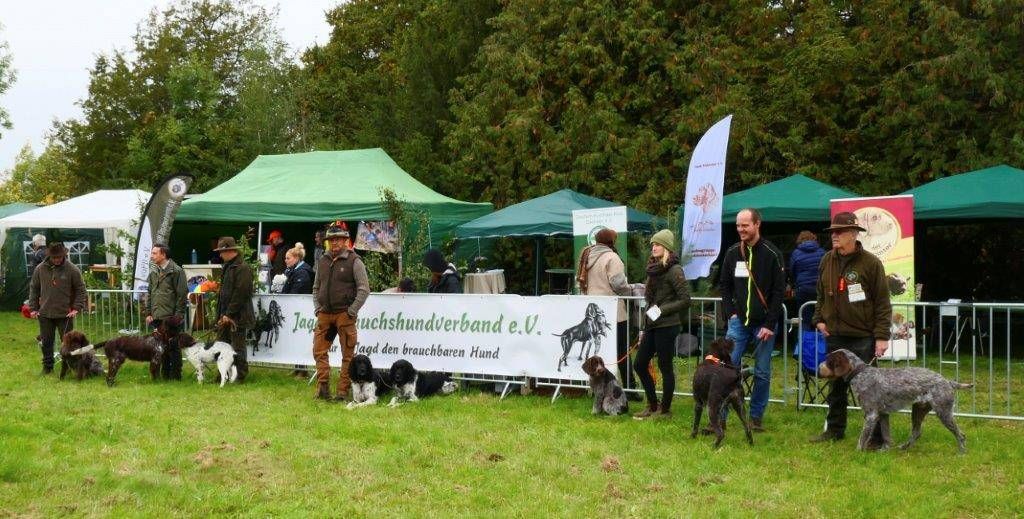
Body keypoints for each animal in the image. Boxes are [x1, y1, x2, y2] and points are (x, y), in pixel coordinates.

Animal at [818, 349, 972, 453]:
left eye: (828, 361)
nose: (818, 369)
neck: (861, 374)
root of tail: (948, 381)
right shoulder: (882, 414)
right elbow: (886, 435)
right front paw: (884, 450)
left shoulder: (871, 415)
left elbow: (862, 438)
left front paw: (857, 453)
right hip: (918, 410)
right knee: (917, 432)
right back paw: (904, 446)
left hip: (944, 412)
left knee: (961, 435)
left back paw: (962, 452)